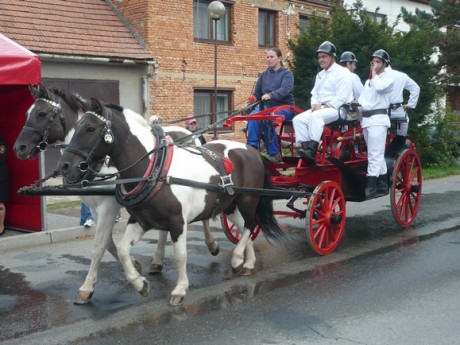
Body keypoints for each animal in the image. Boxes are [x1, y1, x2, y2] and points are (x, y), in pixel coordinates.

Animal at [12, 83, 217, 304]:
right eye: (27, 113)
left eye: (41, 113)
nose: (19, 147)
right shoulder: (94, 208)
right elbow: (109, 244)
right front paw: (135, 267)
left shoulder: (108, 207)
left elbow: (99, 246)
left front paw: (87, 288)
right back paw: (157, 261)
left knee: (204, 216)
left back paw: (212, 244)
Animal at [57, 98, 284, 306]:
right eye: (75, 128)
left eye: (90, 128)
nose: (65, 166)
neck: (155, 168)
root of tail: (251, 150)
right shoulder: (141, 220)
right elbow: (122, 249)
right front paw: (140, 283)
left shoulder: (177, 222)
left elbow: (181, 255)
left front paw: (180, 289)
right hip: (230, 205)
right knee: (245, 226)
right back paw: (248, 263)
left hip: (248, 199)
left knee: (251, 224)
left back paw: (237, 258)